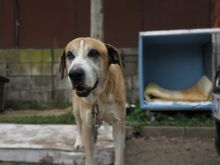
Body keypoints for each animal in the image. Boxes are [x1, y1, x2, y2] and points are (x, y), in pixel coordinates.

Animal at [60, 37, 125, 165]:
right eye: (69, 55)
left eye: (93, 53)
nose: (75, 74)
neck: (100, 95)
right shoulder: (88, 125)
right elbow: (89, 156)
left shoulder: (119, 122)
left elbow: (119, 155)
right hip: (76, 109)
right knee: (78, 124)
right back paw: (78, 142)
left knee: (105, 121)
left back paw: (108, 134)